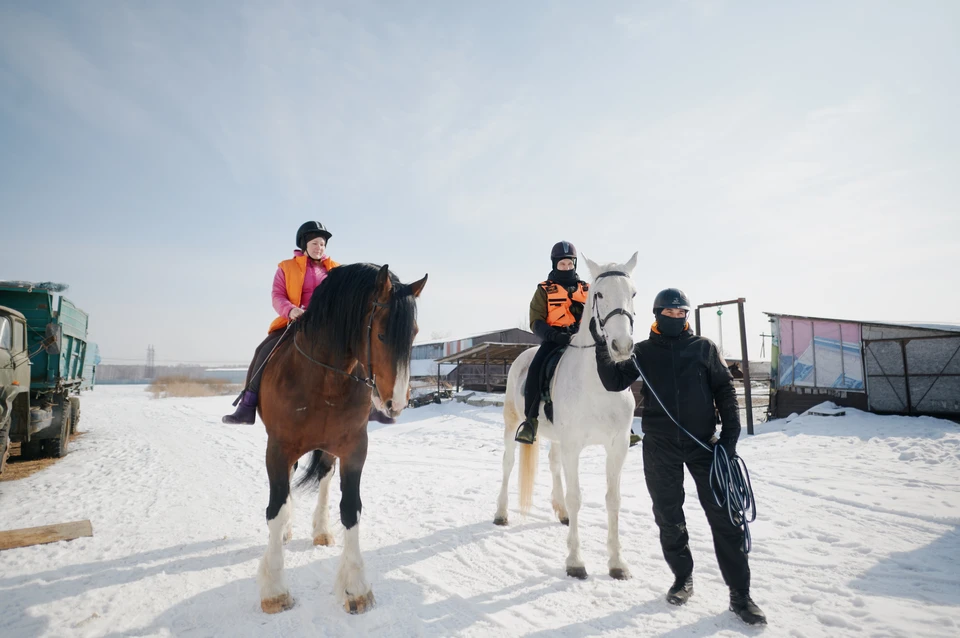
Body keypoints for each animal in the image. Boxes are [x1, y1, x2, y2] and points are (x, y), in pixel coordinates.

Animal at [253, 264, 426, 616]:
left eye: (413, 333)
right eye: (381, 334)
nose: (397, 402)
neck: (323, 379)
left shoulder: (353, 447)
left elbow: (351, 508)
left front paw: (356, 587)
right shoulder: (277, 448)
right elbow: (276, 508)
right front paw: (274, 589)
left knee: (324, 477)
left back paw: (320, 530)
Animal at [496, 252, 636, 584]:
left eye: (633, 293)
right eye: (599, 294)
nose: (622, 346)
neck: (600, 383)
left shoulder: (618, 446)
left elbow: (613, 499)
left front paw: (617, 563)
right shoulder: (574, 446)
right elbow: (576, 497)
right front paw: (575, 562)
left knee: (552, 462)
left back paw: (561, 513)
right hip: (511, 423)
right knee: (508, 464)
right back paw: (501, 513)